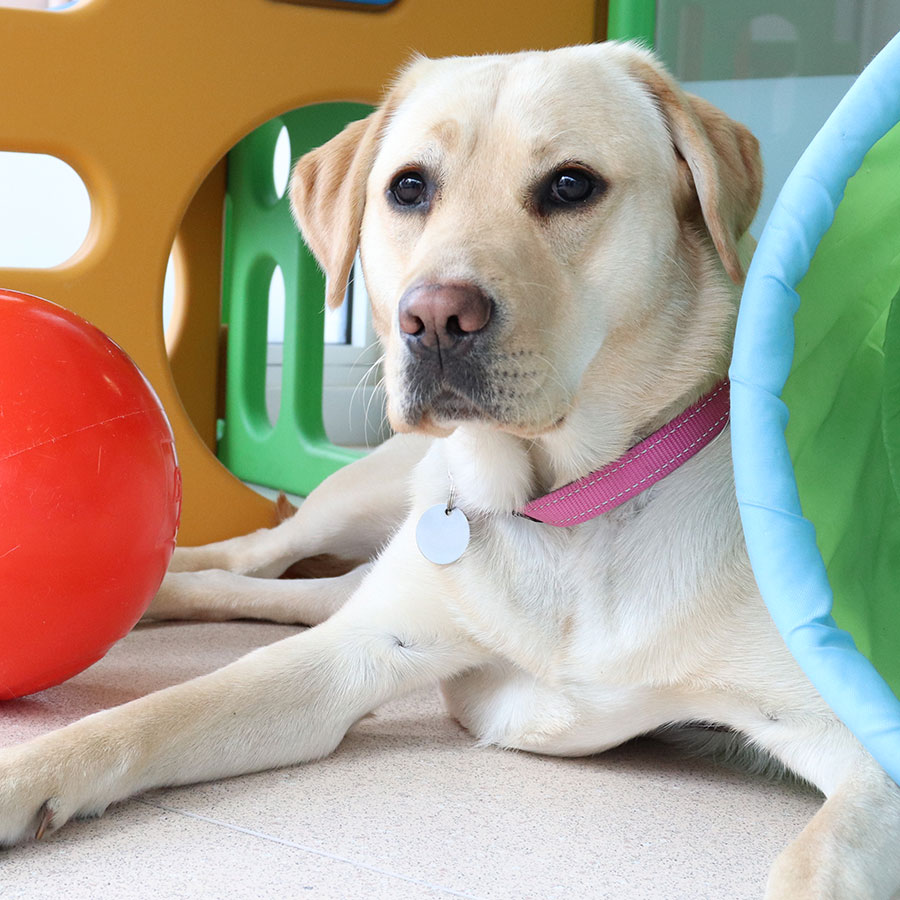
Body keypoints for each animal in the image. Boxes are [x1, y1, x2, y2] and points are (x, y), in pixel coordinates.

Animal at [1, 40, 900, 892]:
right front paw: (24, 773)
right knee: (256, 559)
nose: (433, 318)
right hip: (360, 503)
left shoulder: (860, 736)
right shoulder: (356, 654)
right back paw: (162, 587)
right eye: (408, 189)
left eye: (570, 185)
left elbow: (811, 864)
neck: (561, 510)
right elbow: (152, 714)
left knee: (293, 592)